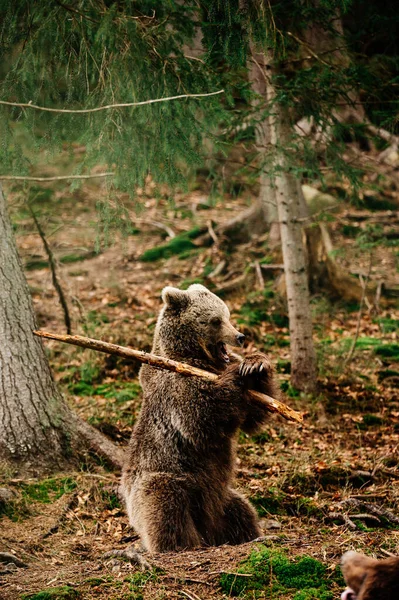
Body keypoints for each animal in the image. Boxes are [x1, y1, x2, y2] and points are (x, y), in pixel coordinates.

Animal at [120, 284, 276, 552]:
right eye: (215, 320)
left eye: (227, 314)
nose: (240, 336)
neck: (199, 359)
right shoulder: (174, 383)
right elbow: (201, 419)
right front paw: (236, 376)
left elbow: (253, 415)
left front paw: (255, 364)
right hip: (162, 479)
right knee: (167, 506)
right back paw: (181, 544)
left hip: (221, 497)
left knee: (241, 510)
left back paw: (249, 534)